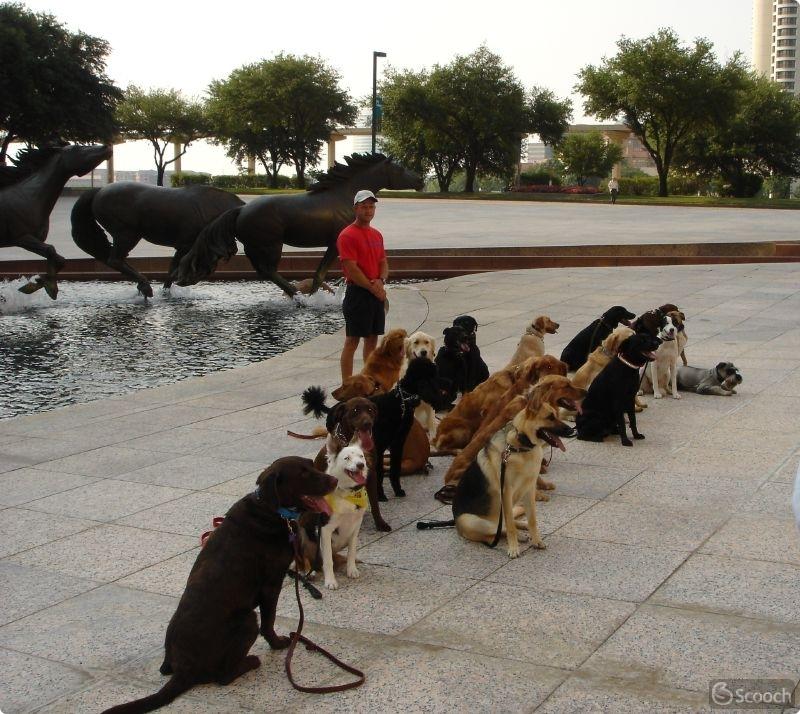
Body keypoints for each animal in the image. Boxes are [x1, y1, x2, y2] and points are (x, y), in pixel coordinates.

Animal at [318, 442, 368, 588]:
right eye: (347, 458)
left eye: (361, 456)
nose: (360, 465)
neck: (348, 494)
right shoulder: (325, 529)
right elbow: (328, 559)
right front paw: (330, 580)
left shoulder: (356, 526)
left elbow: (352, 551)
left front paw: (351, 569)